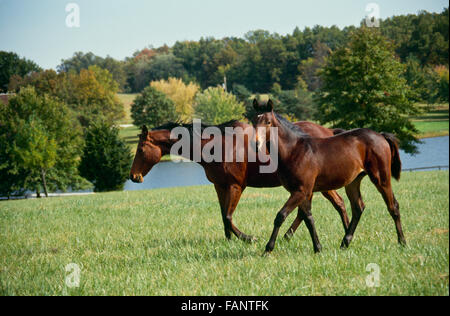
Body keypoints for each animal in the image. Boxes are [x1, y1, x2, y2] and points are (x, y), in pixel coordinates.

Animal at [128, 111, 350, 244]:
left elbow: (228, 216)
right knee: (320, 208)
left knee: (334, 204)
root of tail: (328, 130)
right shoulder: (220, 186)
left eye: (140, 149)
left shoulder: (236, 186)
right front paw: (229, 240)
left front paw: (247, 238)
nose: (133, 176)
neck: (216, 146)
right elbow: (223, 216)